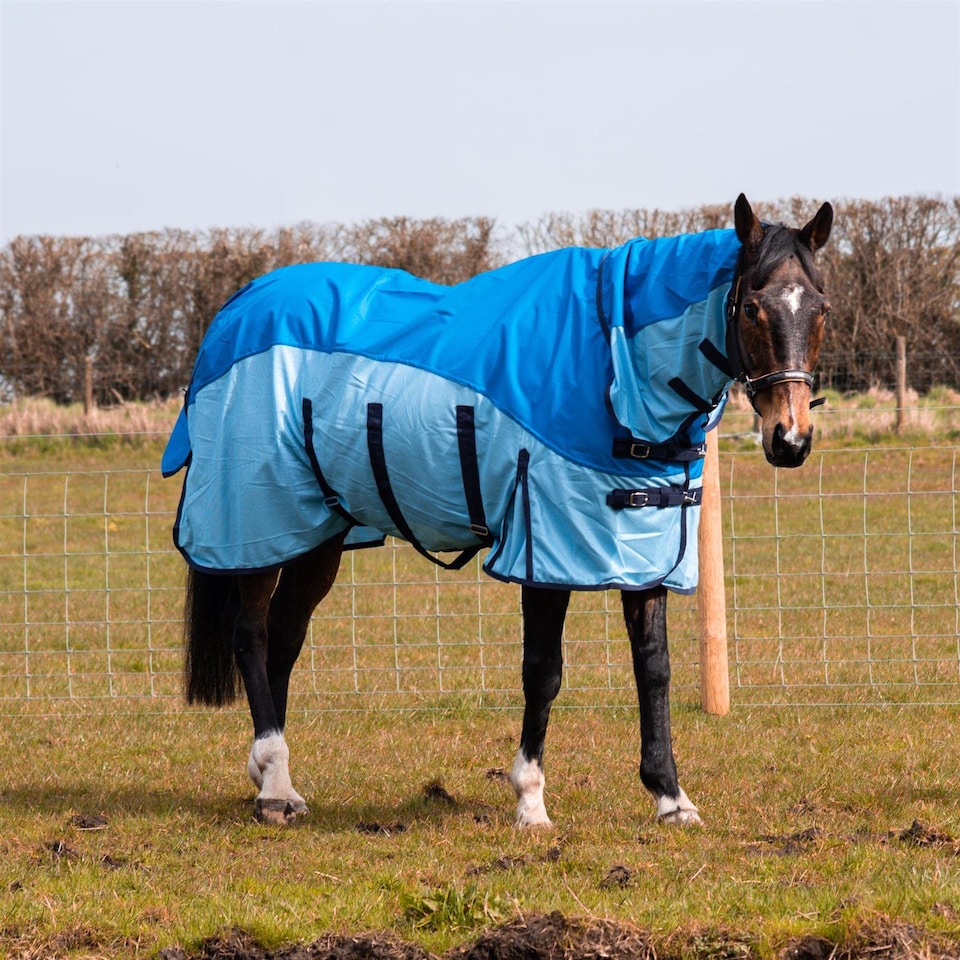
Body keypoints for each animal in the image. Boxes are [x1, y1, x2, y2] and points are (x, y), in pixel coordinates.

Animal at [163, 194, 833, 827]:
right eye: (753, 307)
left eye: (821, 309)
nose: (790, 440)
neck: (610, 365)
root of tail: (235, 309)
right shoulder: (545, 548)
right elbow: (544, 672)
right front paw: (530, 801)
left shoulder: (646, 548)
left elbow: (655, 669)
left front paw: (670, 798)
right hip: (255, 525)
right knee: (251, 636)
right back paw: (274, 787)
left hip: (316, 534)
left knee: (283, 637)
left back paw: (274, 778)